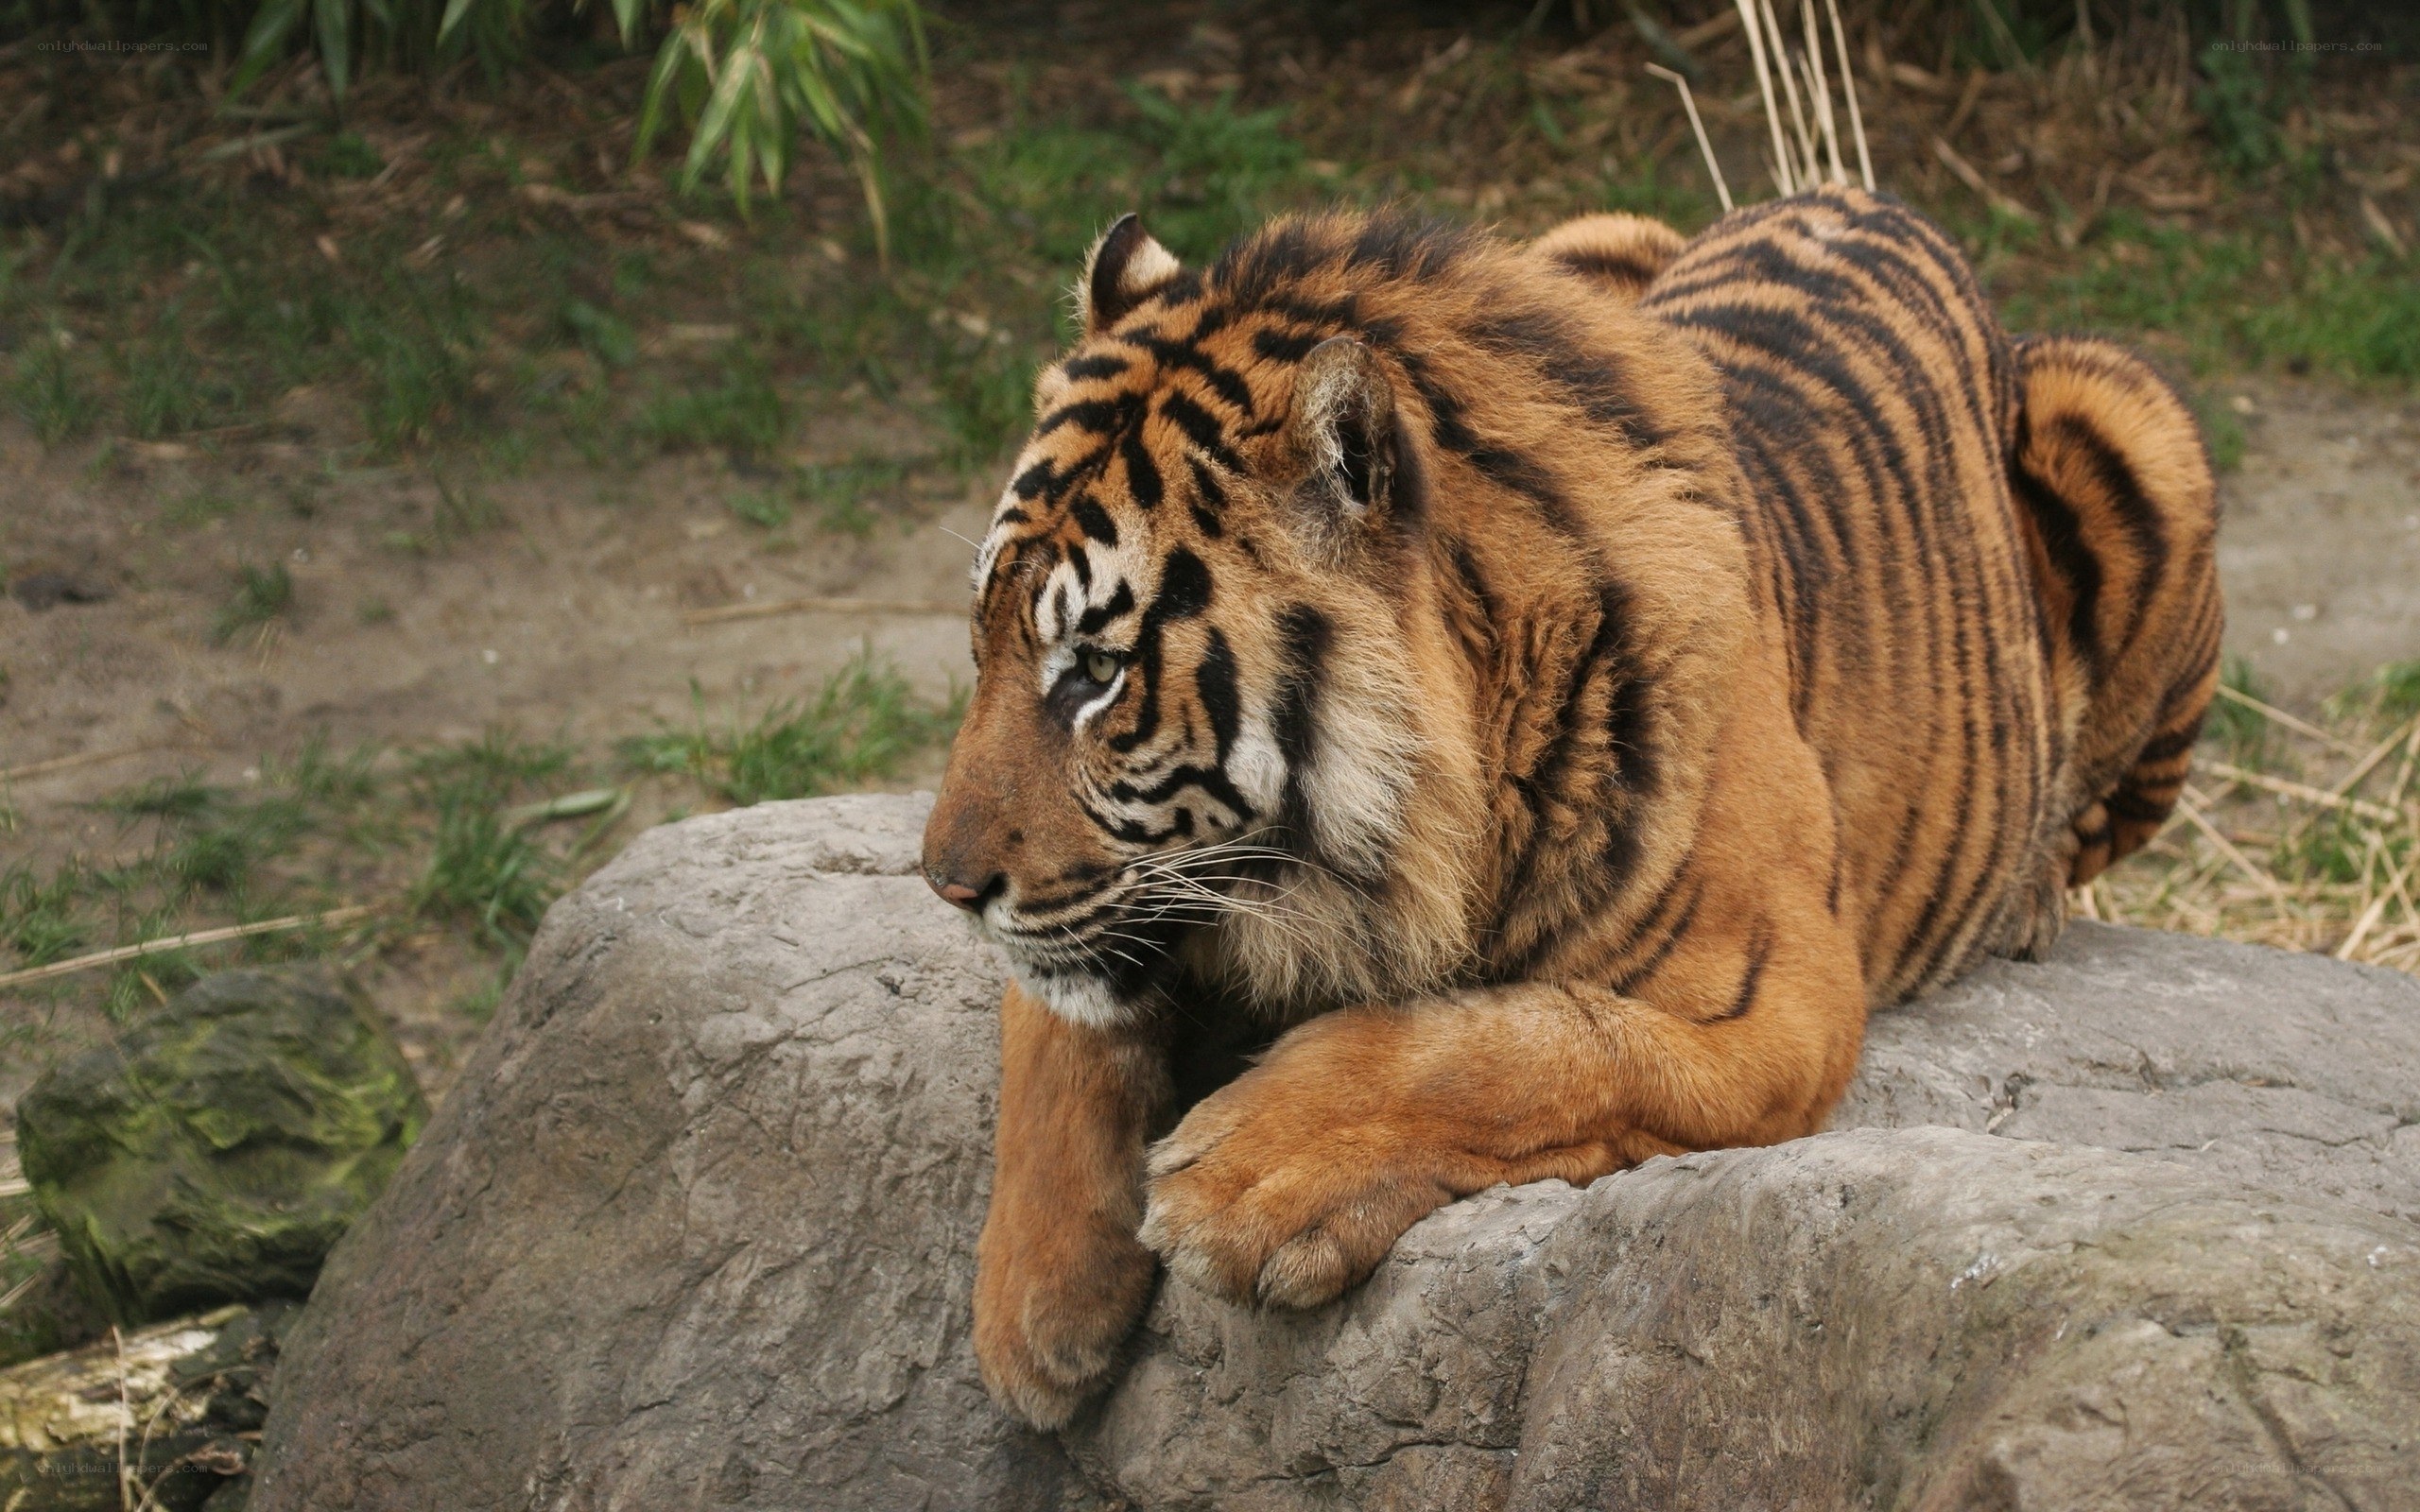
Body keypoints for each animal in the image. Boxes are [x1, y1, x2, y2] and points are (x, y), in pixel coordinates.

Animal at [920, 186, 2222, 1429]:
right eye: (983, 640)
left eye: (1096, 670)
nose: (942, 882)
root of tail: (1871, 198)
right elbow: (1055, 1028)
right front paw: (1031, 1312)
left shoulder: (1780, 996)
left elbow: (1525, 1045)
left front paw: (1246, 1173)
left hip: (2138, 419)